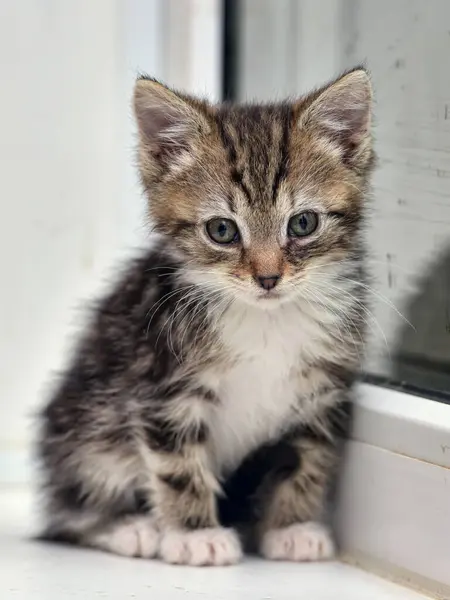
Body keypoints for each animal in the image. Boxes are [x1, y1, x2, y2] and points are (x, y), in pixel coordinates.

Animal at [37, 68, 372, 564]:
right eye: (222, 230)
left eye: (303, 223)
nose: (268, 277)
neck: (266, 321)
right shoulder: (163, 386)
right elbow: (178, 465)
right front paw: (196, 535)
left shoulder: (322, 391)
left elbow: (307, 461)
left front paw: (292, 526)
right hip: (88, 429)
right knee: (66, 510)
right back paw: (126, 527)